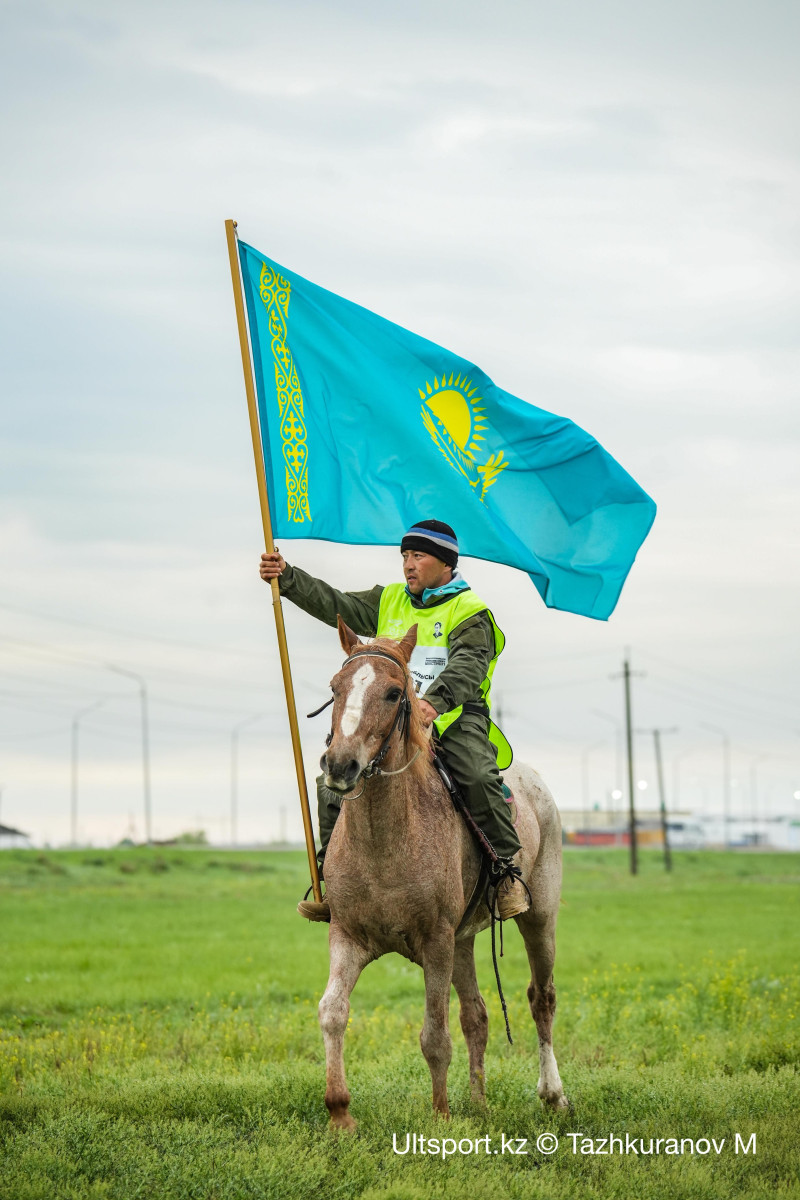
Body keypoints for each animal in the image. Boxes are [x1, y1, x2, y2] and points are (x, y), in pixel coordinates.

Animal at [316, 614, 566, 1128]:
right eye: (335, 686)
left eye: (394, 693)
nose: (340, 765)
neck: (385, 841)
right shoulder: (347, 936)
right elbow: (332, 1012)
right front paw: (340, 1115)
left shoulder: (434, 943)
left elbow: (434, 1036)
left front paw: (441, 1116)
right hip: (464, 942)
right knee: (478, 1015)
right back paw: (479, 1102)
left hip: (539, 918)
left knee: (542, 997)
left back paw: (552, 1094)